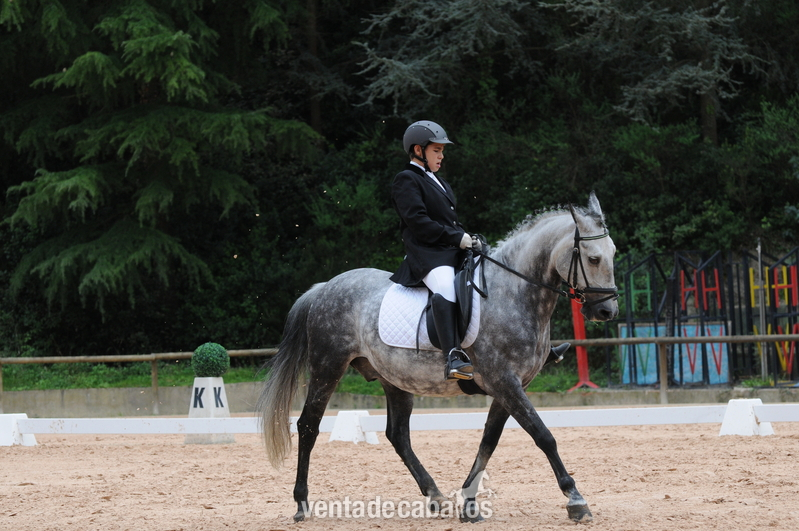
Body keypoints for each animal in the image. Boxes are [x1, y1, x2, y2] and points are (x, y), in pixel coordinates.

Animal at [257, 191, 618, 524]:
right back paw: (301, 504)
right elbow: (543, 436)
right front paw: (575, 499)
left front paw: (469, 504)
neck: (513, 294)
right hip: (327, 367)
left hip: (395, 379)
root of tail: (323, 288)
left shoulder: (509, 387)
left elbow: (489, 441)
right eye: (593, 259)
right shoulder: (505, 382)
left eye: (613, 254)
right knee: (308, 426)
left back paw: (436, 497)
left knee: (398, 436)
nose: (607, 311)